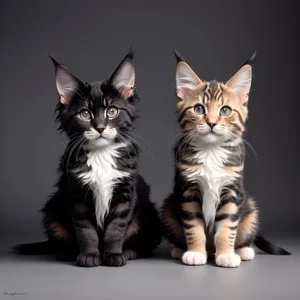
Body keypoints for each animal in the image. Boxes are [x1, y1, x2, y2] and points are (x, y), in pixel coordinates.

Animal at [14, 51, 162, 268]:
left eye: (112, 111)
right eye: (85, 114)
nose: (100, 127)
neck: (101, 154)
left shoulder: (124, 195)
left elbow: (116, 229)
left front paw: (114, 255)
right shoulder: (76, 196)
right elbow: (86, 231)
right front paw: (89, 256)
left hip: (150, 216)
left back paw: (129, 252)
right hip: (52, 211)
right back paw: (67, 253)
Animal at [162, 51, 290, 268]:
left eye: (225, 110)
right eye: (199, 109)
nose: (212, 123)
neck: (211, 151)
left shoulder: (231, 190)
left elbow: (227, 226)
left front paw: (226, 255)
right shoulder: (188, 191)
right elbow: (193, 225)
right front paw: (195, 252)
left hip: (250, 207)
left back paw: (243, 250)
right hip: (169, 206)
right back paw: (181, 249)